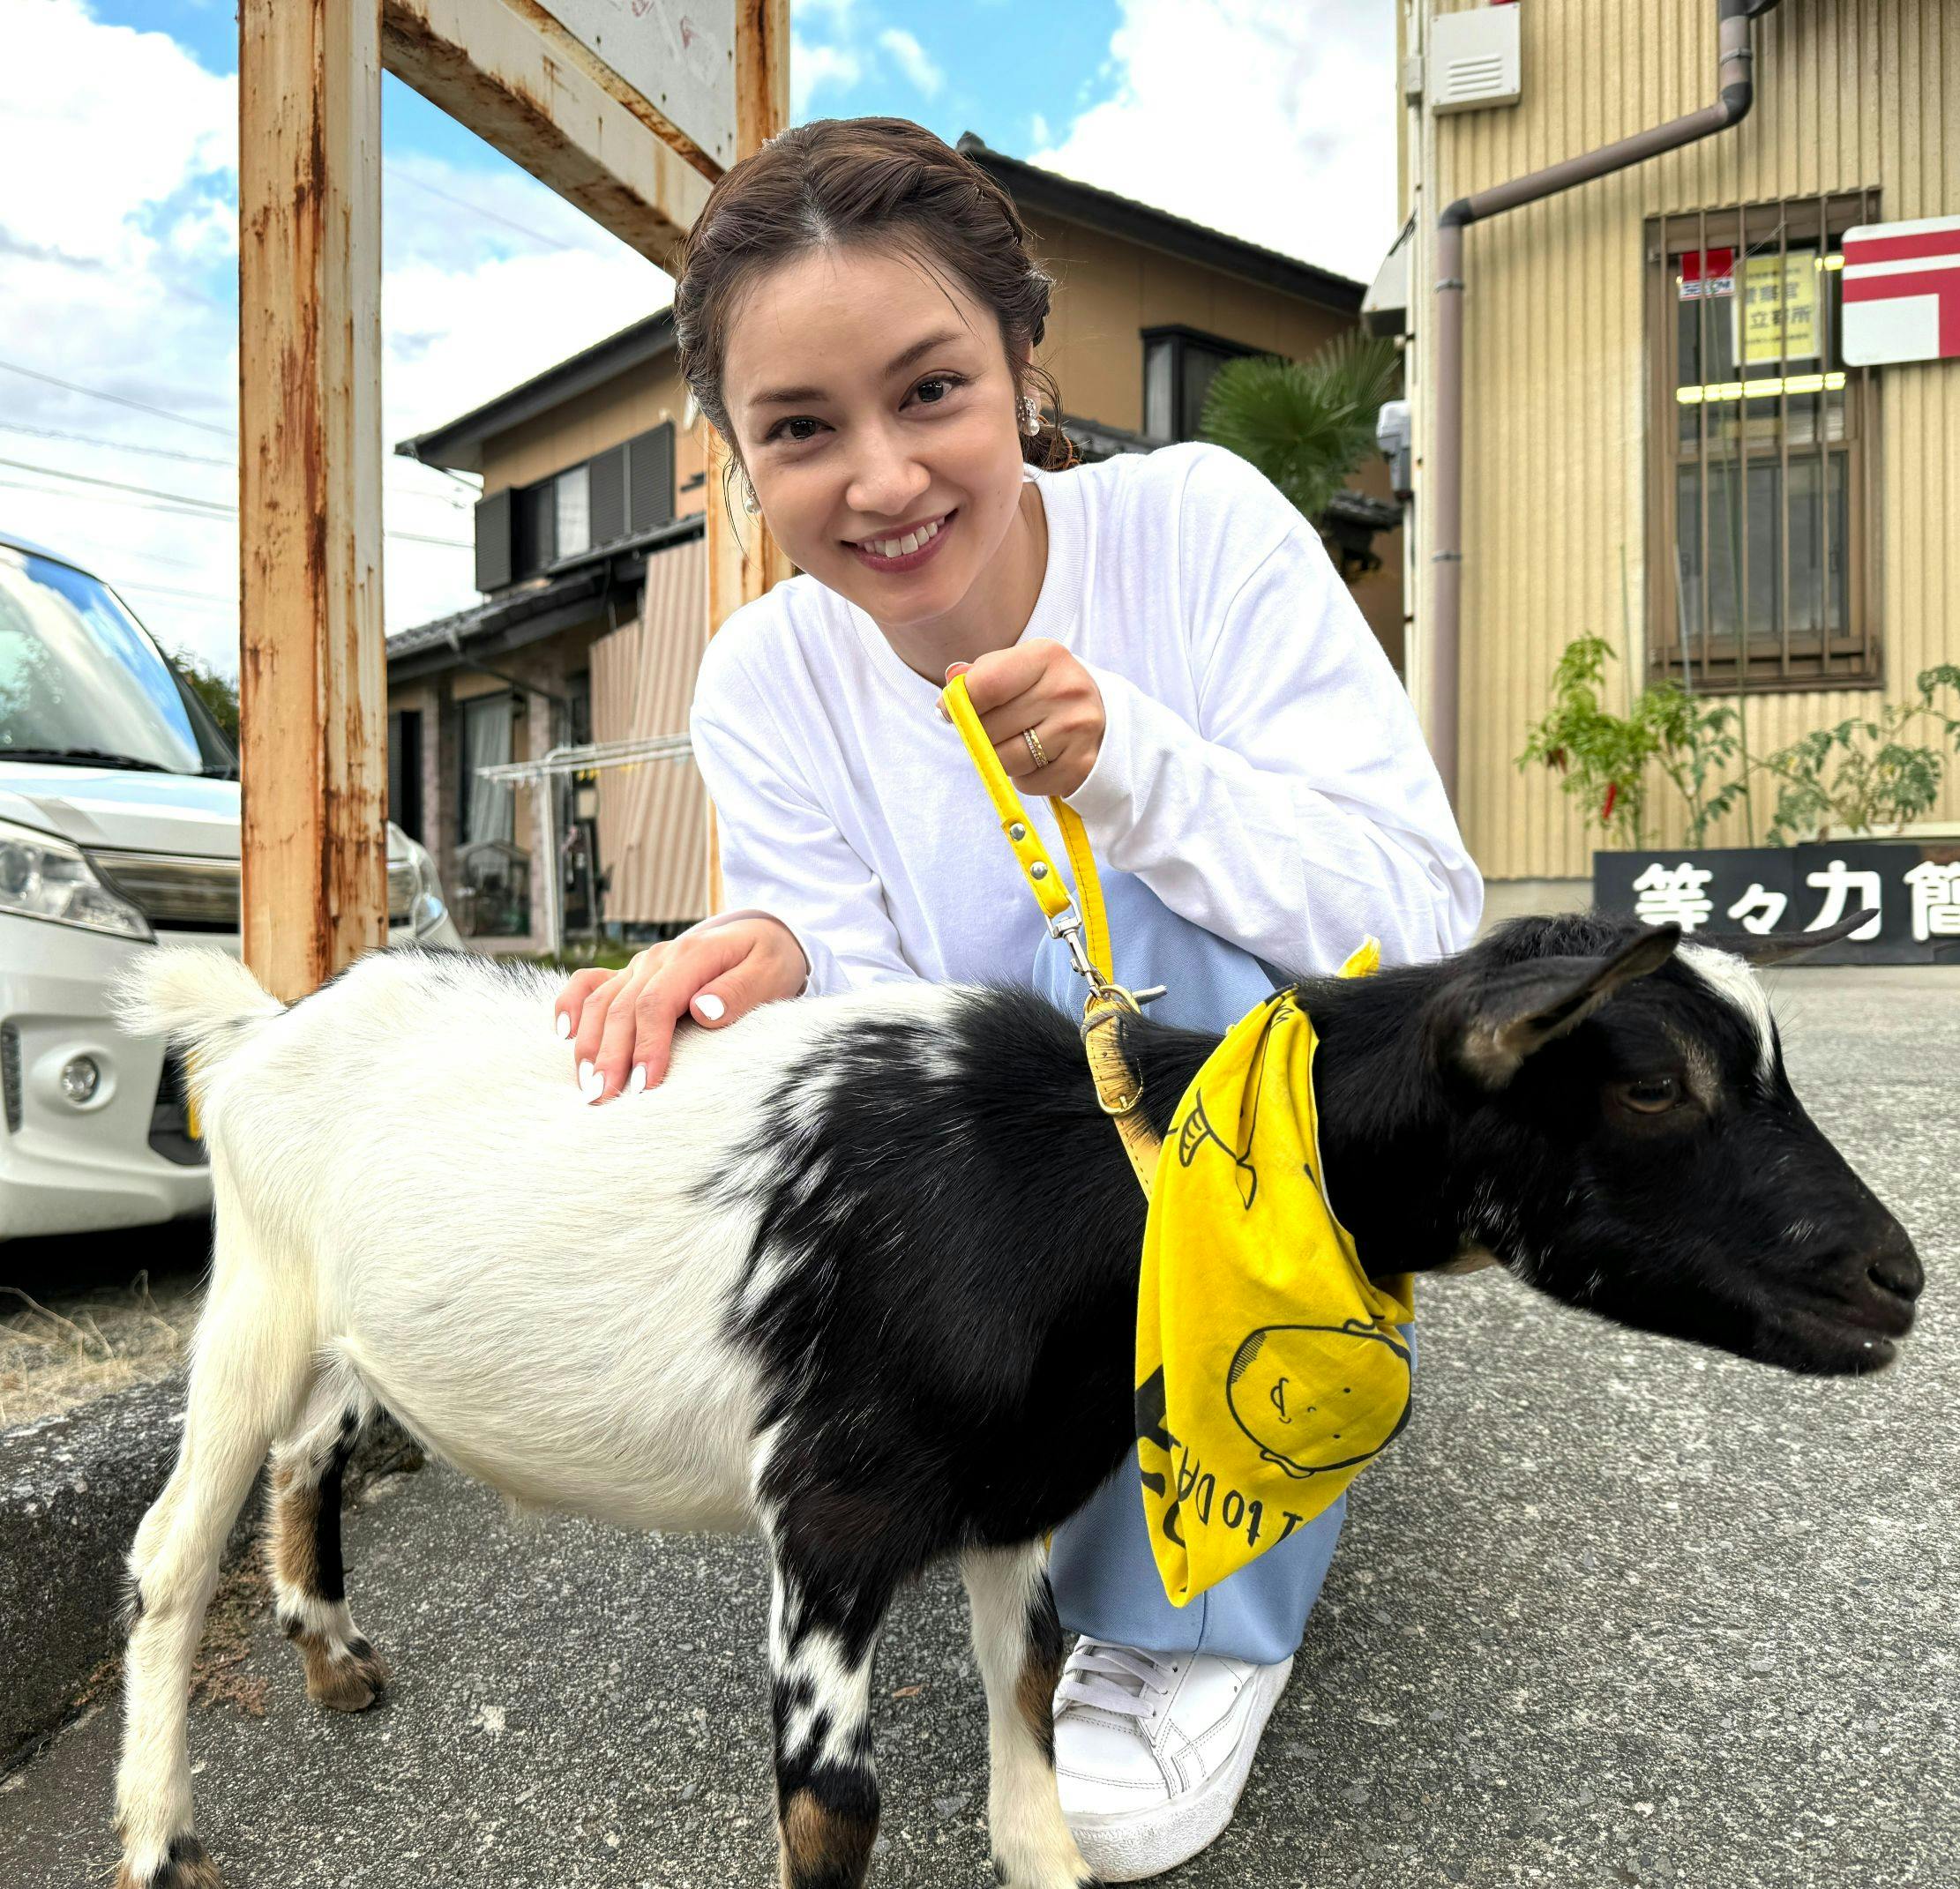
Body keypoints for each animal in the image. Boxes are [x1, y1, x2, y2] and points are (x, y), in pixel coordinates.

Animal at [106, 914, 1922, 1889]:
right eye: (1651, 1083)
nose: (1897, 1278)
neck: (1078, 1182)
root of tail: (266, 1020)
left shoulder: (1015, 1499)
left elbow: (1034, 1709)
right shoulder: (829, 1520)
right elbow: (834, 1804)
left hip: (345, 1330)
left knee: (309, 1453)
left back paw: (333, 1654)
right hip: (250, 1296)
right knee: (166, 1554)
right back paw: (156, 1834)